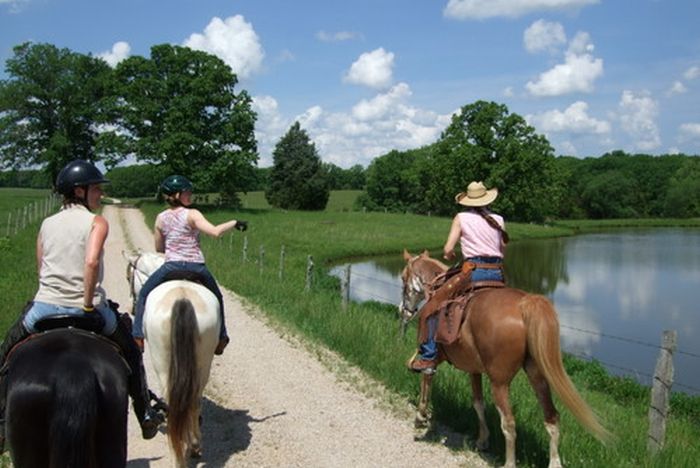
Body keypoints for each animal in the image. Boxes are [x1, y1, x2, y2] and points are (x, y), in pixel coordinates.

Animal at [124, 252, 220, 464]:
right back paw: (192, 447)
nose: (130, 307)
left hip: (163, 366)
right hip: (203, 364)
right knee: (191, 402)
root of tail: (182, 300)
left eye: (128, 278)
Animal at [402, 250, 608, 468]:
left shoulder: (434, 358)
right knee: (552, 417)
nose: (404, 310)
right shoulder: (474, 369)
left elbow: (426, 381)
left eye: (403, 278)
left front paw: (420, 417)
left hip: (499, 382)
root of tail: (525, 304)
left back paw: (509, 462)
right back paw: (554, 461)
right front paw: (482, 440)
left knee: (509, 423)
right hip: (538, 375)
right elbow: (478, 403)